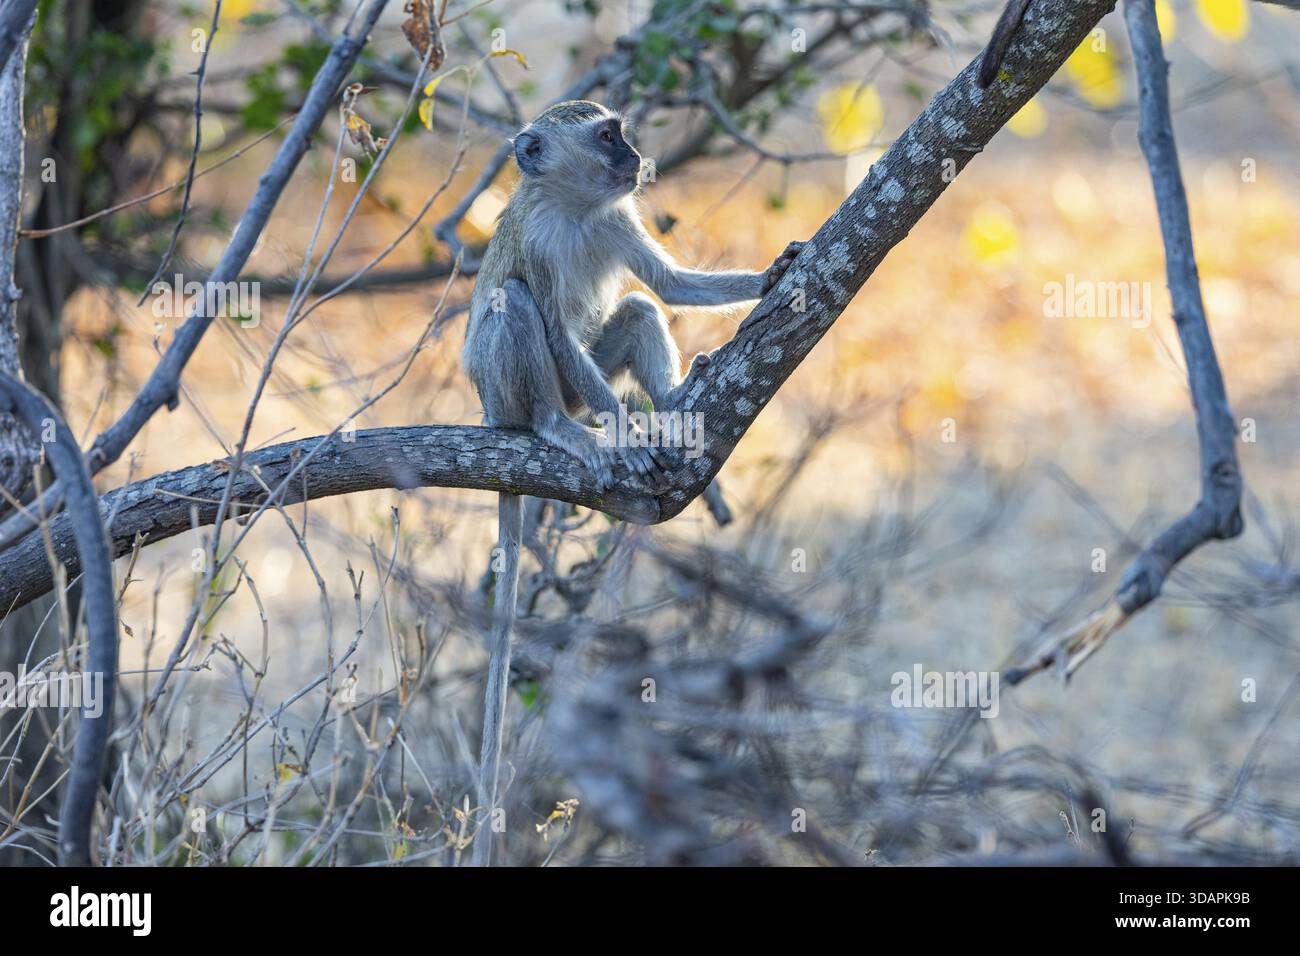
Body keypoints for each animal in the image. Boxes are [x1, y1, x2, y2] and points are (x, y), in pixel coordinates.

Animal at [460, 100, 803, 864]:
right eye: (607, 136)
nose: (637, 158)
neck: (575, 209)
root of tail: (491, 415)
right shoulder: (538, 240)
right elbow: (553, 323)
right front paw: (622, 436)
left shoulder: (616, 217)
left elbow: (668, 287)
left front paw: (771, 277)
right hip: (510, 395)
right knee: (513, 304)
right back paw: (562, 428)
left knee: (640, 310)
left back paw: (673, 403)